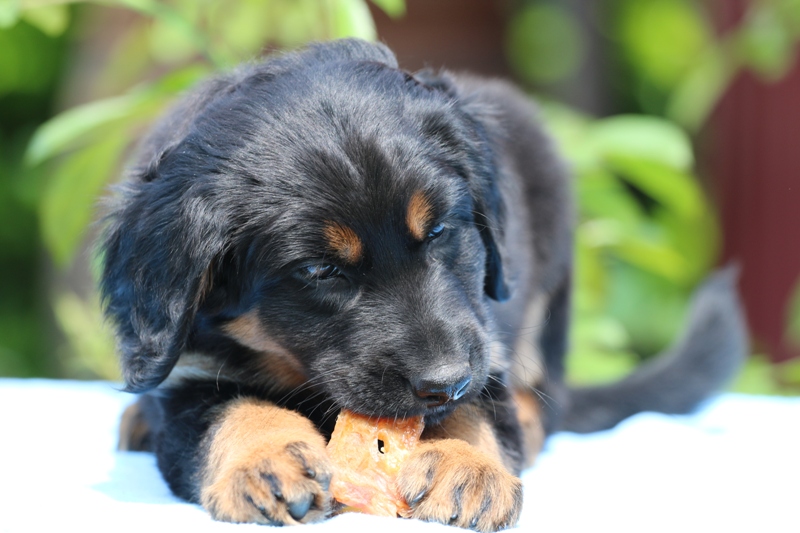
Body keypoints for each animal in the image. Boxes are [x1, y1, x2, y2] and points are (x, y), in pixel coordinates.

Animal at [103, 39, 747, 531]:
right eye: (318, 271)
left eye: (438, 230)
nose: (445, 382)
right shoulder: (188, 368)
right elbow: (227, 412)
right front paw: (267, 463)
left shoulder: (485, 346)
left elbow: (482, 412)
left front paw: (466, 467)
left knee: (546, 399)